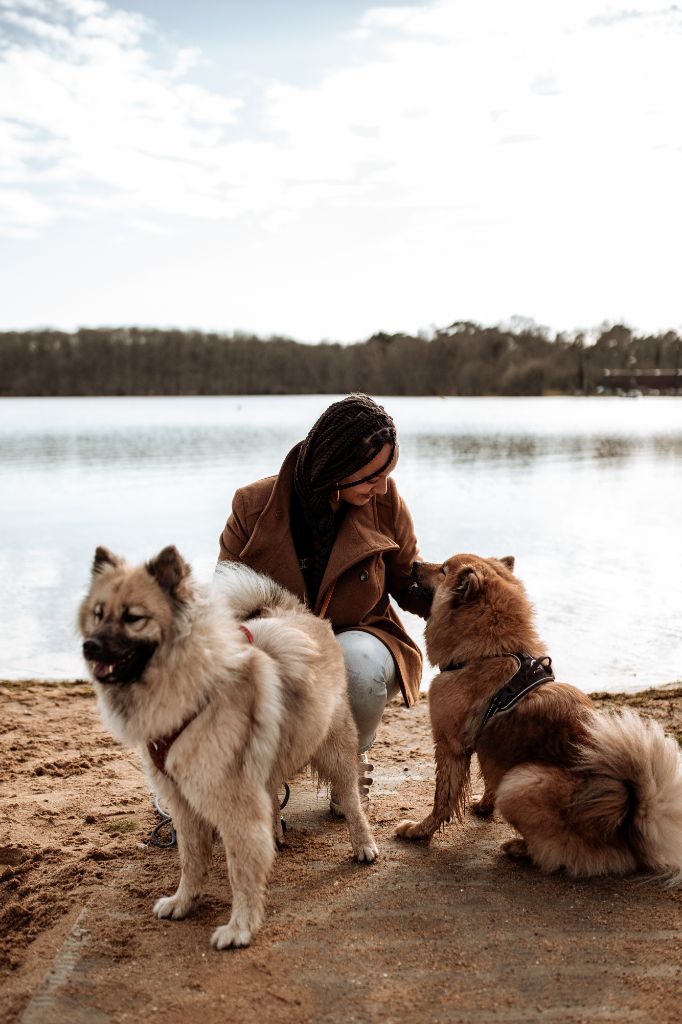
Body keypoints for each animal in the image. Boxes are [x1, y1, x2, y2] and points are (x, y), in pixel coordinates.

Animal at [80, 548, 376, 946]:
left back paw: (363, 844)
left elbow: (240, 869)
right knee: (272, 795)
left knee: (351, 797)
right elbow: (191, 861)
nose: (89, 646)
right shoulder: (183, 802)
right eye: (98, 613)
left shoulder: (232, 803)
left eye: (133, 618)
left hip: (334, 747)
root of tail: (296, 612)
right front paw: (184, 902)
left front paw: (240, 927)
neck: (190, 699)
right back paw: (276, 834)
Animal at [393, 552, 679, 880]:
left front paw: (419, 831)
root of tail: (626, 829)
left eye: (442, 570)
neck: (489, 653)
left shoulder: (449, 746)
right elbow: (488, 776)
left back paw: (520, 848)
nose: (414, 563)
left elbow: (442, 798)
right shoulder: (487, 748)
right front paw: (484, 805)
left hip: (521, 781)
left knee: (556, 853)